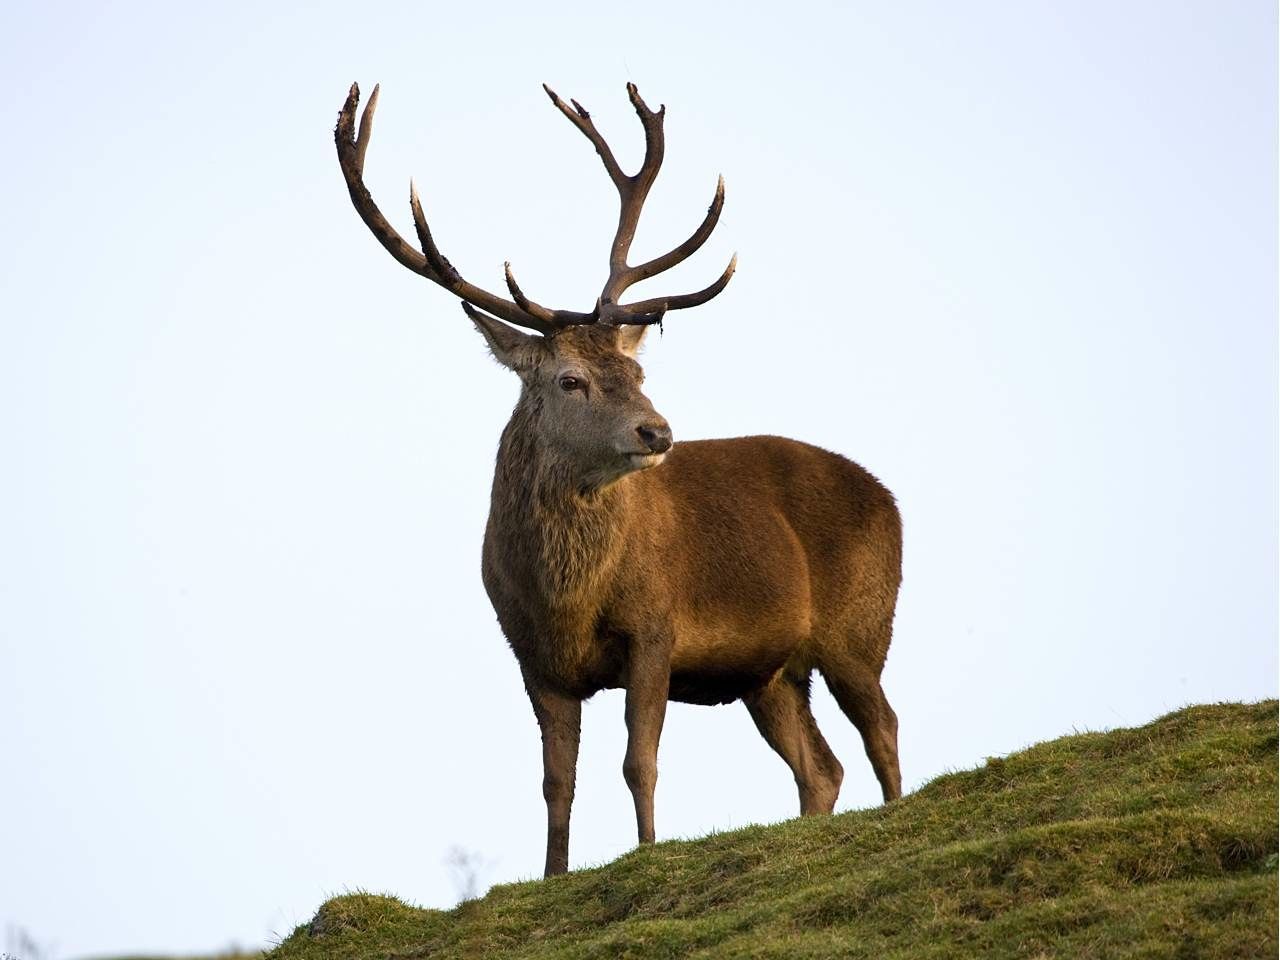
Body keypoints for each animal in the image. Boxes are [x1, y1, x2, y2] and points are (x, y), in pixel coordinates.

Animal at [334, 81, 903, 877]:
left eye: (636, 372)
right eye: (570, 379)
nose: (657, 432)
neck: (567, 598)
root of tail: (888, 496)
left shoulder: (656, 624)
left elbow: (641, 761)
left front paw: (648, 851)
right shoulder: (531, 654)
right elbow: (555, 780)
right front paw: (553, 875)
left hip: (861, 623)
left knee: (882, 725)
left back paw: (899, 815)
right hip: (771, 673)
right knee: (821, 765)